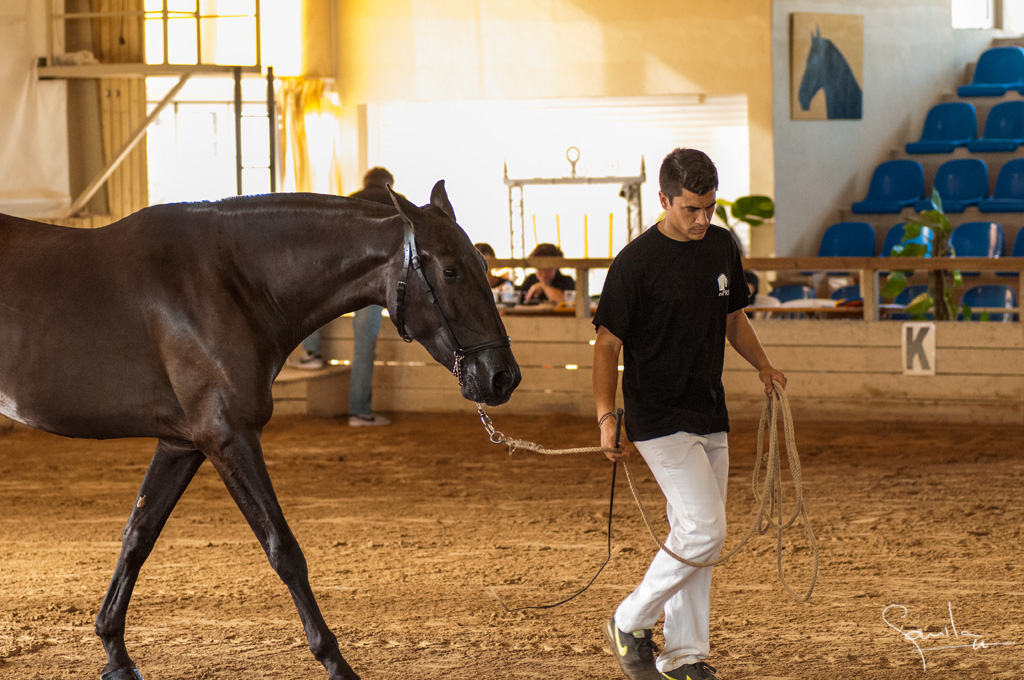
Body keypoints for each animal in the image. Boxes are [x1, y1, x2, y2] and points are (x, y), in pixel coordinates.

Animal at [0, 182, 516, 680]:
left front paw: (116, 655)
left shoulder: (182, 443)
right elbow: (283, 549)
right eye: (450, 270)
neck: (227, 282)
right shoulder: (229, 436)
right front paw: (336, 663)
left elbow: (137, 537)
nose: (502, 377)